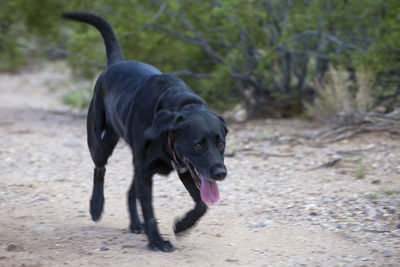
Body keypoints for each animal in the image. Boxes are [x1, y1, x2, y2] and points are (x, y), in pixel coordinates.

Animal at [61, 11, 227, 252]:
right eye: (198, 145)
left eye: (221, 143)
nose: (220, 173)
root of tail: (116, 64)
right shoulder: (149, 170)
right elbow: (150, 210)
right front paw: (157, 240)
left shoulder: (183, 168)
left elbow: (201, 204)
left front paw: (182, 225)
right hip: (102, 142)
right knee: (99, 168)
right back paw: (96, 206)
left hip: (137, 162)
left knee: (130, 191)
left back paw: (134, 223)